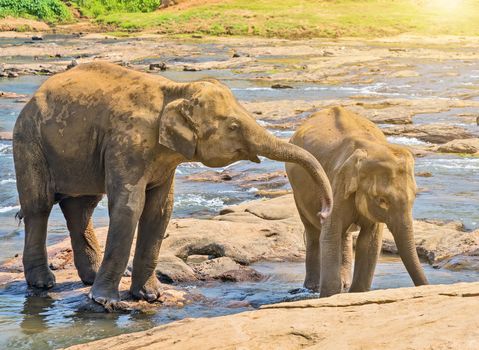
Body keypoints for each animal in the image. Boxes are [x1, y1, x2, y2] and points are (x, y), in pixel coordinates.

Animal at [12, 61, 334, 308]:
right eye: (233, 126)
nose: (324, 211)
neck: (174, 90)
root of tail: (34, 96)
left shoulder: (162, 159)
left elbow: (160, 210)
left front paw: (150, 296)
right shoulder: (127, 144)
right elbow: (129, 207)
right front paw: (106, 302)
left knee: (81, 208)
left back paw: (88, 279)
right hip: (29, 141)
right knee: (39, 206)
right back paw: (44, 284)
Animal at [286, 106, 430, 296]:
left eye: (414, 197)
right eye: (382, 200)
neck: (369, 146)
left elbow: (369, 241)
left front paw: (354, 293)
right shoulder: (337, 184)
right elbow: (330, 234)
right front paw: (330, 295)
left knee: (344, 235)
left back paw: (344, 284)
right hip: (297, 190)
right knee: (313, 232)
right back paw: (311, 288)